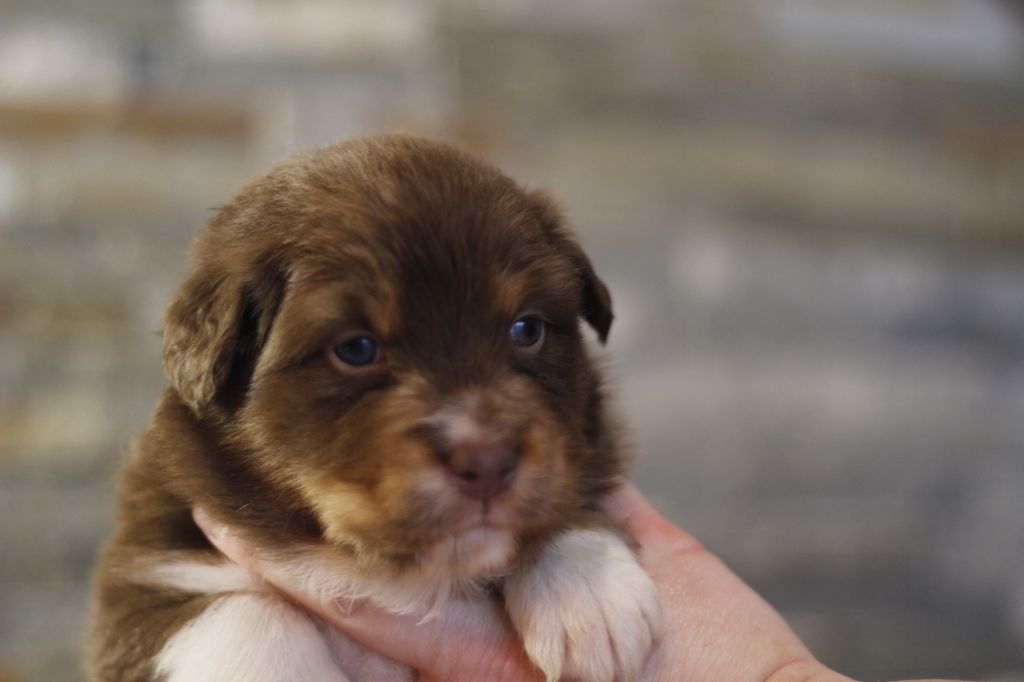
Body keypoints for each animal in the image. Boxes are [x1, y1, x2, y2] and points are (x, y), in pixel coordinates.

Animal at [88, 135, 660, 682]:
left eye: (527, 329)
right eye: (357, 348)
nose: (489, 463)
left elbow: (568, 498)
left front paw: (592, 598)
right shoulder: (144, 572)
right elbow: (245, 615)